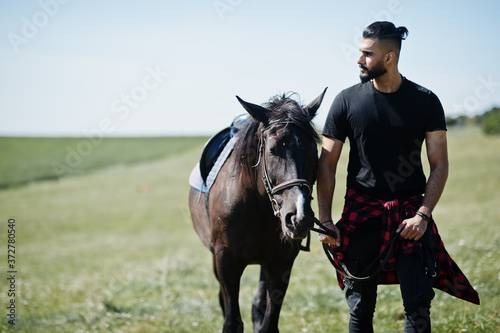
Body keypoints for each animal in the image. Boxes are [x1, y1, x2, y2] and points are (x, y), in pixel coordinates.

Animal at [189, 89, 326, 332]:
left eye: (314, 152)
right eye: (272, 150)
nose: (299, 217)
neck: (257, 206)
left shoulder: (282, 263)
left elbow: (268, 322)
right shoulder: (226, 260)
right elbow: (231, 321)